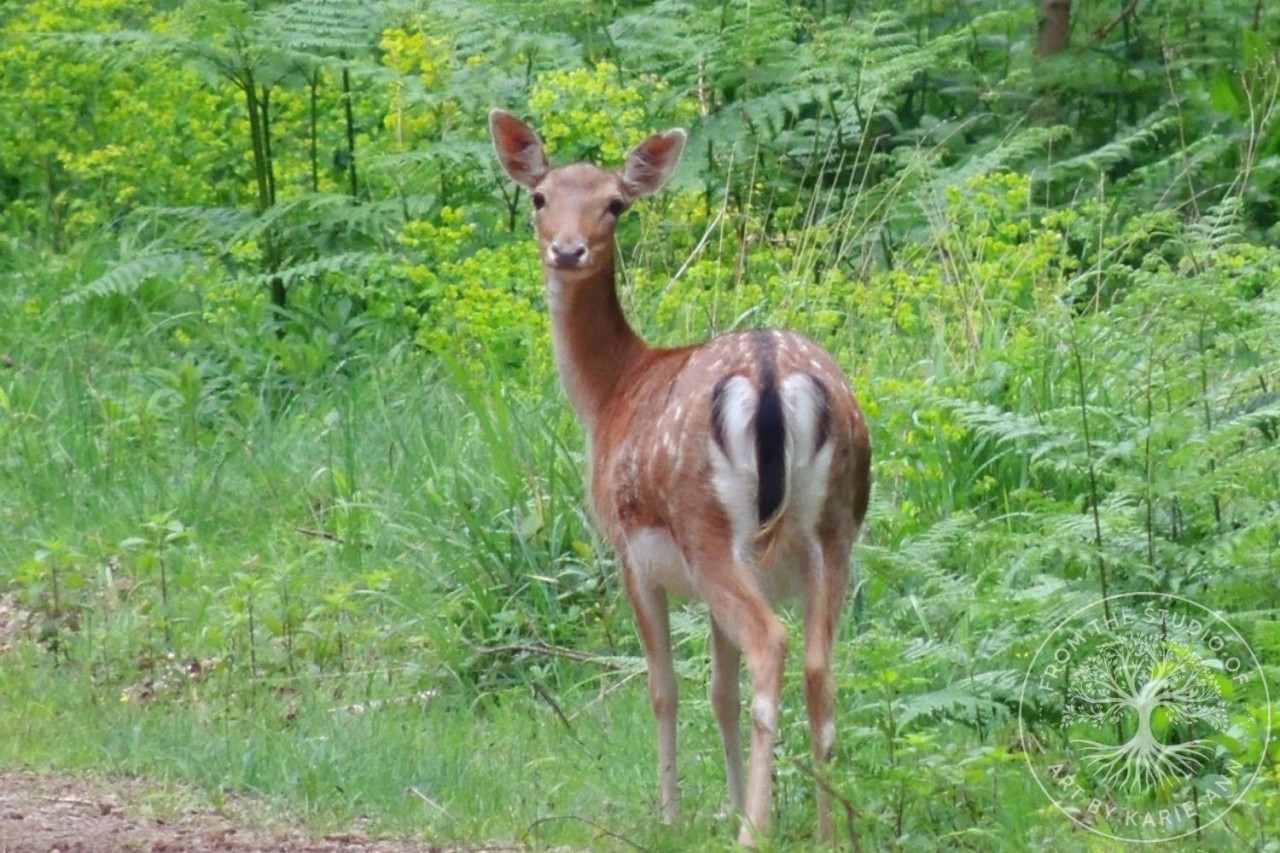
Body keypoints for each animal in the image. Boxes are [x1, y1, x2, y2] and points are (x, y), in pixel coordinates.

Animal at [489, 109, 872, 846]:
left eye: (615, 203)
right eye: (541, 197)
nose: (569, 251)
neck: (609, 394)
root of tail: (773, 376)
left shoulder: (629, 553)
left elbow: (664, 686)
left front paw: (673, 813)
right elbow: (719, 692)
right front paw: (725, 800)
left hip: (708, 525)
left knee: (771, 646)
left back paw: (757, 832)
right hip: (837, 525)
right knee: (821, 668)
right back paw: (830, 830)